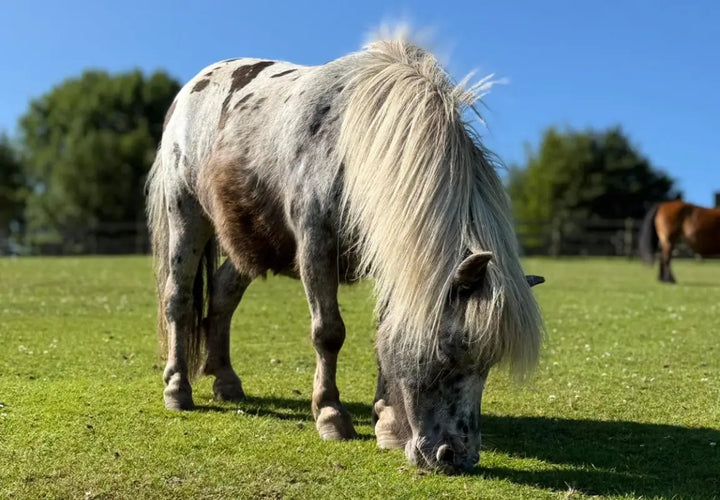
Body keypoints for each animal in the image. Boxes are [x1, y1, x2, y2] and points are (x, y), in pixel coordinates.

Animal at [146, 36, 544, 473]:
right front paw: (330, 414)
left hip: (250, 243)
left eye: (487, 365)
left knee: (221, 295)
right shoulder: (315, 244)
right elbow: (328, 332)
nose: (456, 457)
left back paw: (227, 381)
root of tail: (194, 86)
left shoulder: (390, 258)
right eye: (448, 348)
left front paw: (386, 422)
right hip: (186, 214)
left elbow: (385, 331)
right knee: (179, 300)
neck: (356, 146)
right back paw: (177, 389)